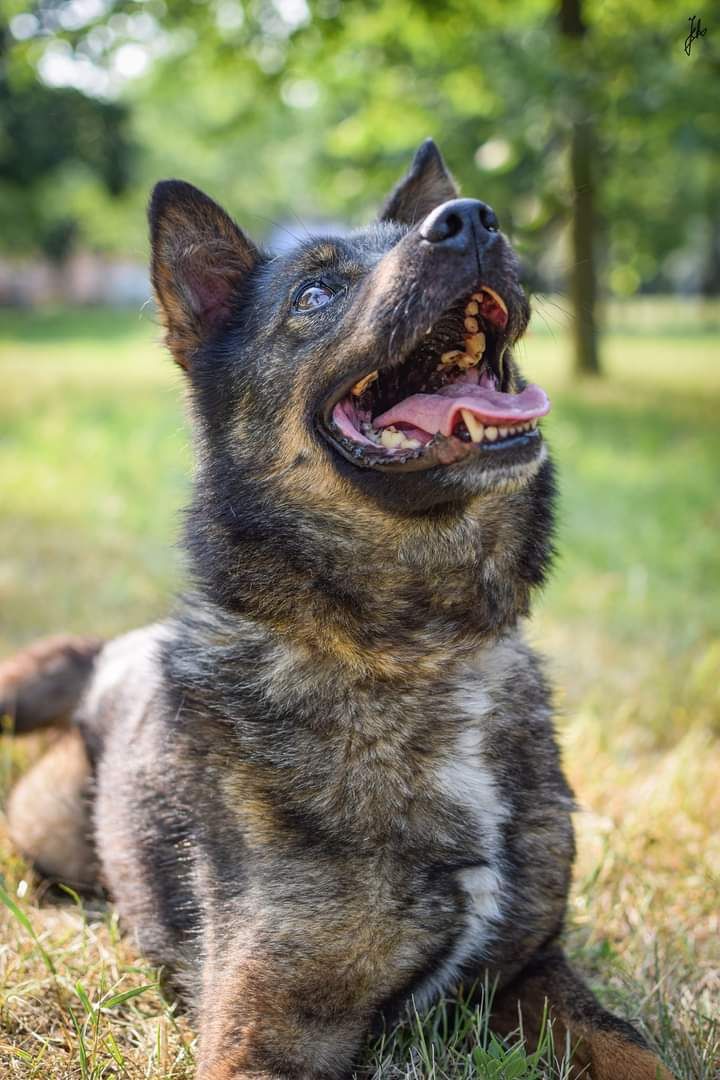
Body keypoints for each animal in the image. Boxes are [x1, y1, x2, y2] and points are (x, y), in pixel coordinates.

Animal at [1, 143, 677, 1080]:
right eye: (315, 294)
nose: (470, 220)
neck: (420, 652)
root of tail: (109, 652)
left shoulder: (532, 971)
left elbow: (643, 1053)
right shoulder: (265, 1033)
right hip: (54, 828)